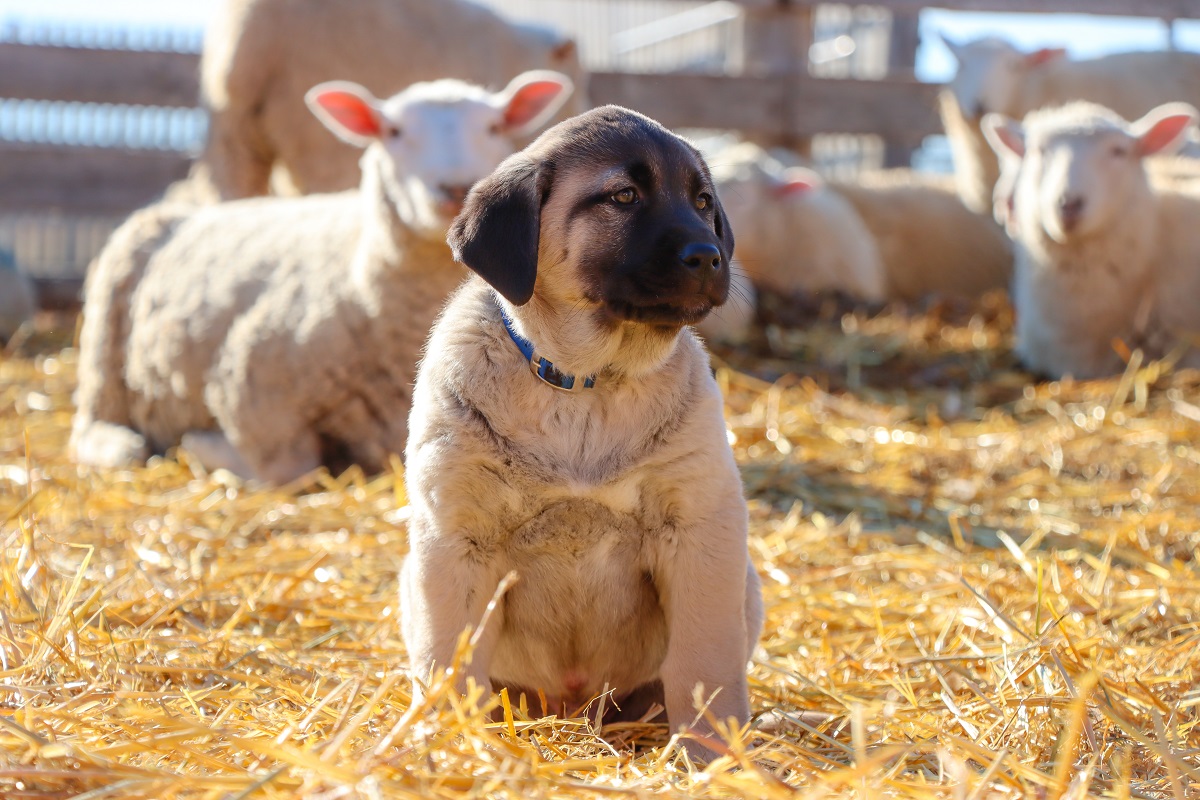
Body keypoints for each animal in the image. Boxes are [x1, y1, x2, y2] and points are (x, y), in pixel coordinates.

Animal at [70, 70, 576, 482]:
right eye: (392, 131)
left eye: (495, 126)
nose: (456, 187)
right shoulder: (253, 389)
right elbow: (293, 469)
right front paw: (202, 446)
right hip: (104, 341)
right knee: (93, 424)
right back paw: (123, 445)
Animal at [398, 104, 763, 758]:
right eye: (623, 196)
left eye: (702, 202)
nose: (709, 256)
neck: (588, 386)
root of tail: (574, 709)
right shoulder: (457, 540)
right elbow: (451, 663)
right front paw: (453, 745)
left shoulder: (700, 529)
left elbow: (704, 662)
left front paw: (711, 753)